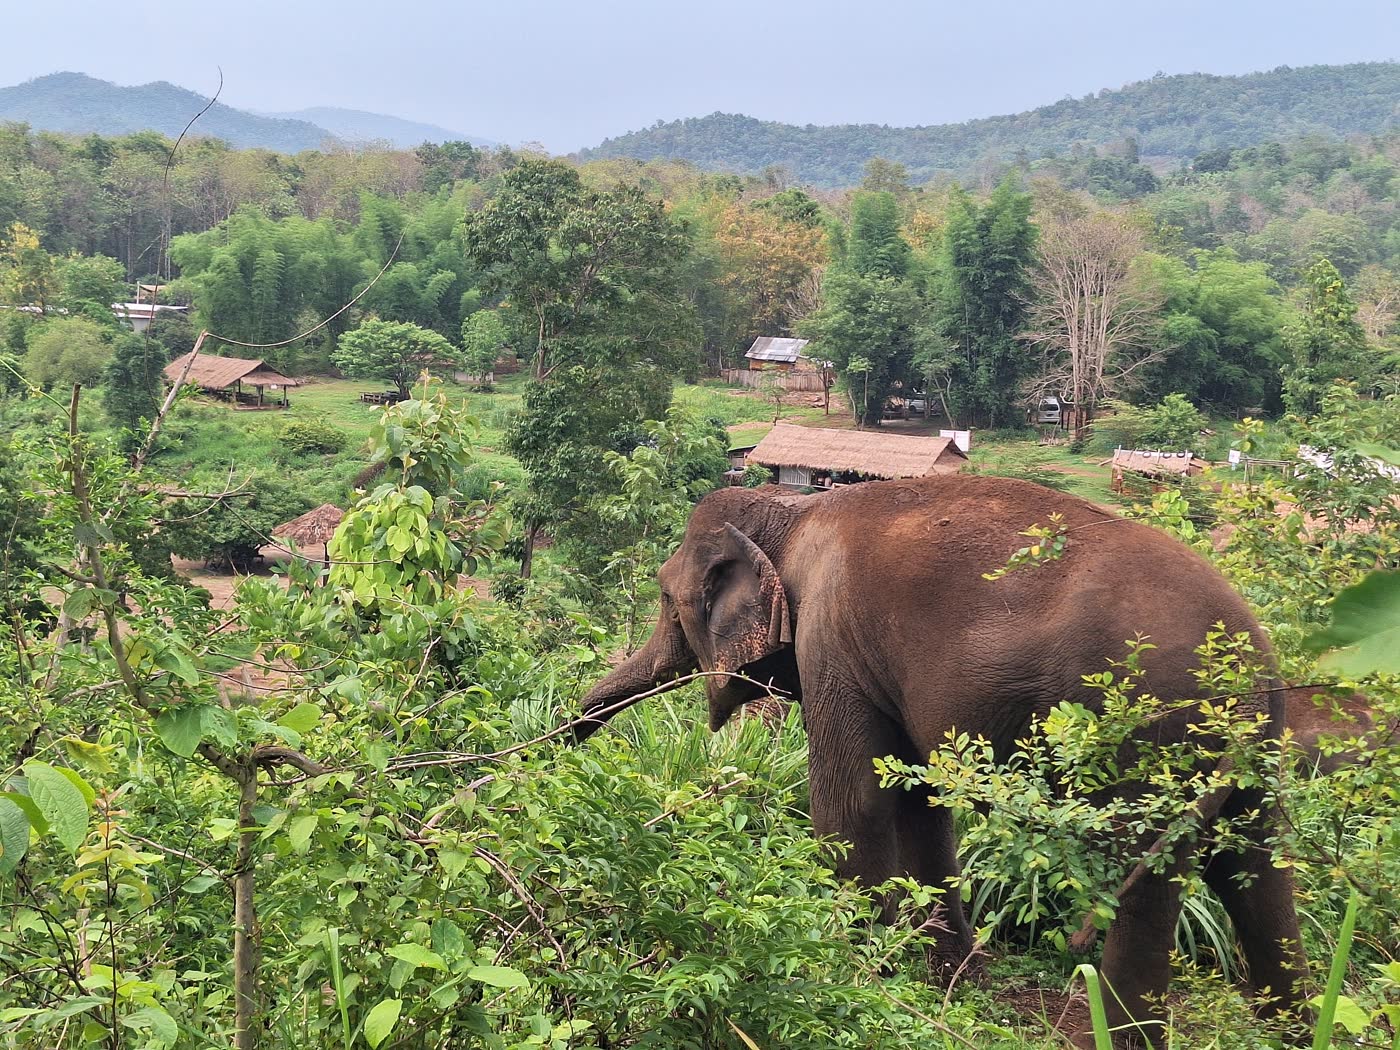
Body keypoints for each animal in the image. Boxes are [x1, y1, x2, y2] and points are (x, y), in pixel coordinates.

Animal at [574, 474, 1306, 1044]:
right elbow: (921, 806)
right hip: (1249, 748)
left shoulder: (830, 638)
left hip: (1153, 736)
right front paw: (950, 985)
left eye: (667, 602)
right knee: (1257, 864)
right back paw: (1293, 1029)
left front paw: (857, 979)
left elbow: (850, 806)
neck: (792, 509)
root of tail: (1254, 668)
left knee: (1153, 874)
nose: (563, 743)